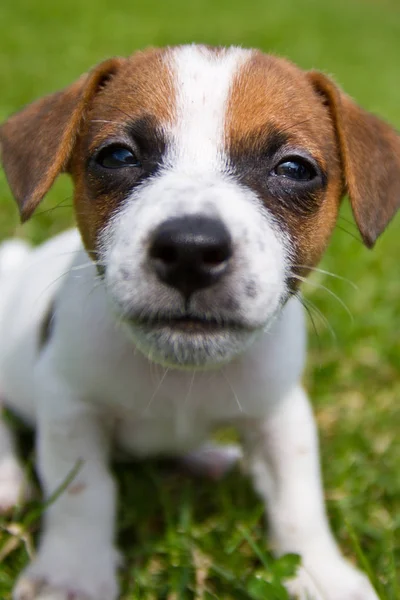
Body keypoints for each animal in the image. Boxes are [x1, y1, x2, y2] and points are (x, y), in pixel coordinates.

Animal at [0, 47, 398, 600]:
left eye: (294, 168)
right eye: (117, 156)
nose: (190, 249)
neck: (182, 379)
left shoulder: (281, 412)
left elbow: (299, 497)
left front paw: (322, 572)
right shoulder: (70, 407)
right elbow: (84, 492)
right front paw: (71, 574)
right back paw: (5, 478)